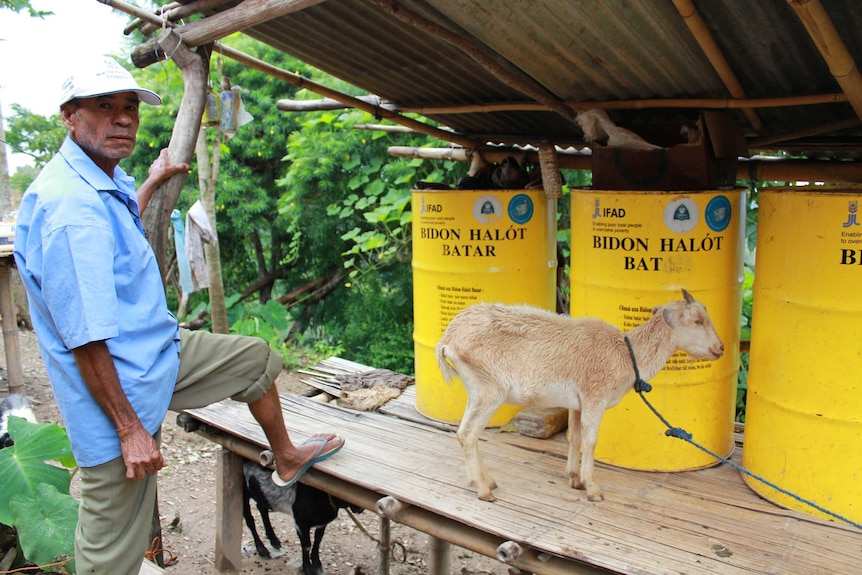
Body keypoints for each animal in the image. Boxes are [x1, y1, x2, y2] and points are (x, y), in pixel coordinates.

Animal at [436, 290, 724, 502]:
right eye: (698, 320)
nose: (719, 348)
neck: (625, 354)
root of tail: (448, 340)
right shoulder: (595, 396)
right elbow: (591, 440)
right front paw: (593, 489)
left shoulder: (576, 402)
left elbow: (574, 437)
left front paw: (574, 478)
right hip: (489, 389)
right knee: (468, 434)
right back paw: (484, 490)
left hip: (475, 389)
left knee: (464, 432)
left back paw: (487, 481)